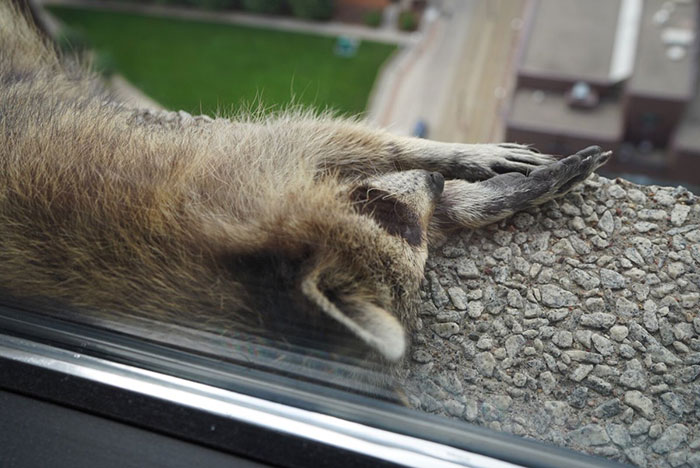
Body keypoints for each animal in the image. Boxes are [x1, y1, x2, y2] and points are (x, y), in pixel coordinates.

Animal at [0, 2, 609, 365]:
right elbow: (333, 136)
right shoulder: (239, 168)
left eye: (380, 206)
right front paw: (466, 178)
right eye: (399, 225)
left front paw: (469, 178)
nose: (435, 181)